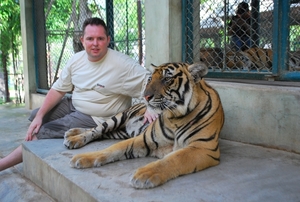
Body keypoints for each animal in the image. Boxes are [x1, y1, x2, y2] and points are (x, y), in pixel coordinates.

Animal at [63, 62, 225, 189]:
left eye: (167, 79)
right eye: (150, 79)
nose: (145, 96)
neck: (175, 117)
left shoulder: (203, 147)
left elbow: (174, 158)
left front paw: (144, 174)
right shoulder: (144, 138)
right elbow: (112, 149)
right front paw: (83, 157)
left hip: (119, 132)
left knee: (102, 133)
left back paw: (71, 133)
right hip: (117, 119)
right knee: (96, 130)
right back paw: (73, 137)